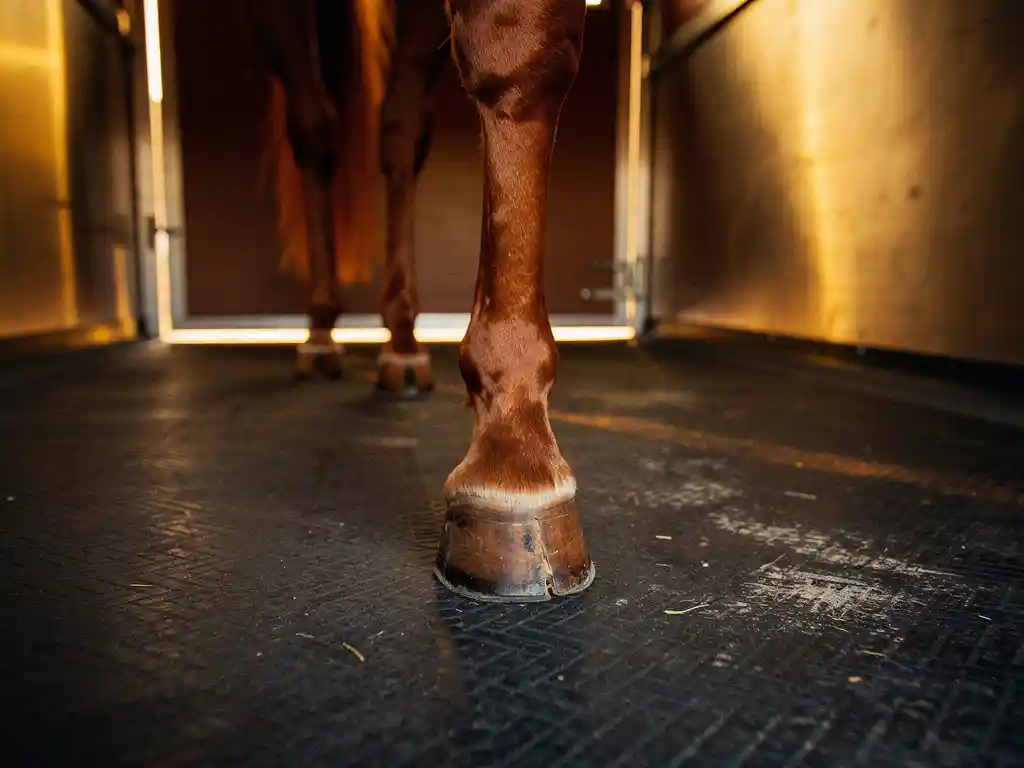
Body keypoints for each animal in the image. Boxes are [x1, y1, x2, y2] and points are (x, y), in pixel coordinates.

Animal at [244, 0, 597, 602]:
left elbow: (521, 68)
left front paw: (518, 438)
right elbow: (513, 56)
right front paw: (511, 463)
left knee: (397, 135)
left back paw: (403, 342)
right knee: (315, 134)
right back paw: (320, 333)